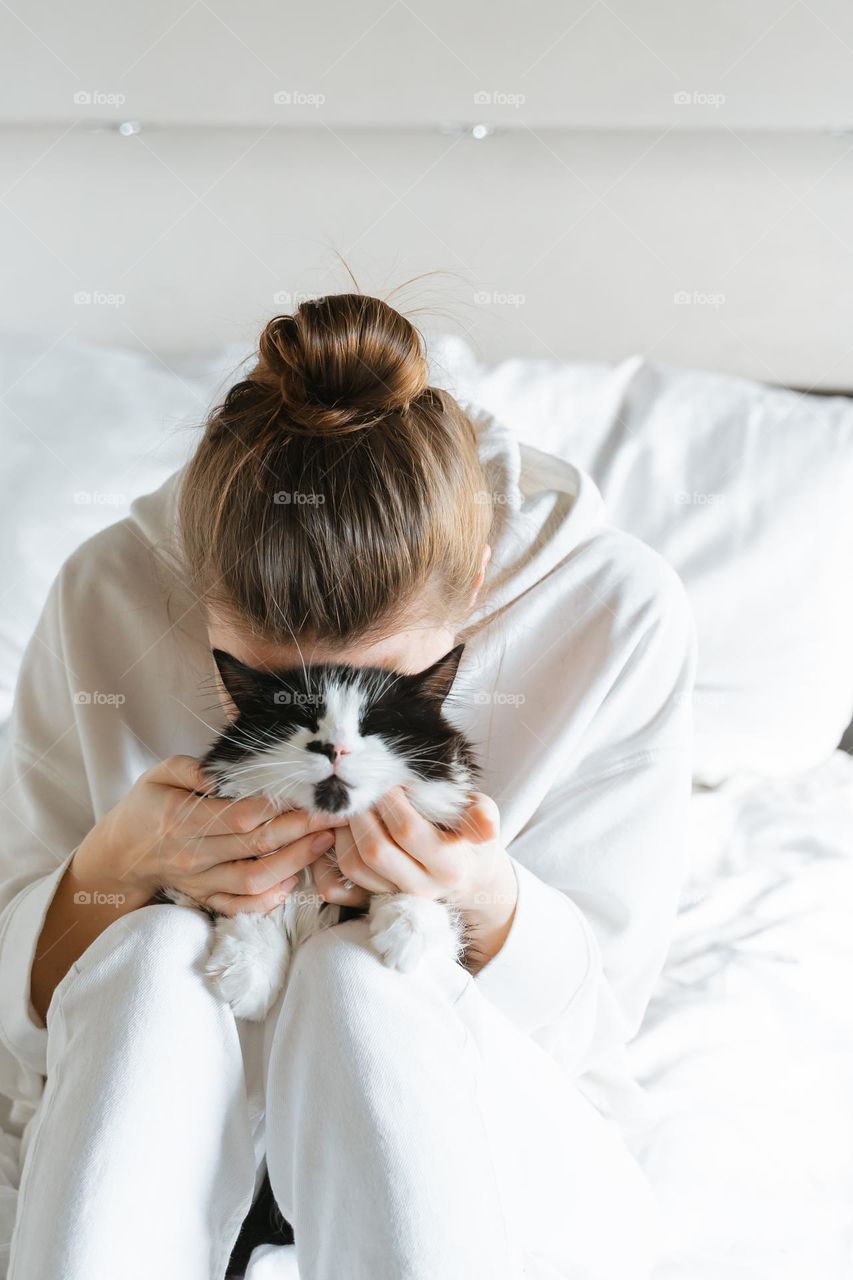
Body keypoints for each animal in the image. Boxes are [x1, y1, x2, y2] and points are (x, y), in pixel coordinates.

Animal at [163, 645, 479, 1024]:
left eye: (374, 724)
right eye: (302, 718)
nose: (334, 748)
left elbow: (426, 885)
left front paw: (408, 927)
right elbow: (258, 901)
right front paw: (250, 971)